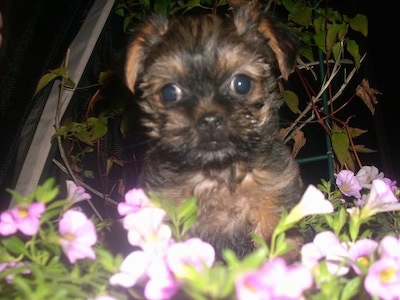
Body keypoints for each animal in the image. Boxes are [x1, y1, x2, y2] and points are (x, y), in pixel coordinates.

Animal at [123, 2, 302, 260]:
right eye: (169, 92)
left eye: (241, 84)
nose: (209, 119)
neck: (217, 173)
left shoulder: (272, 198)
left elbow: (276, 241)